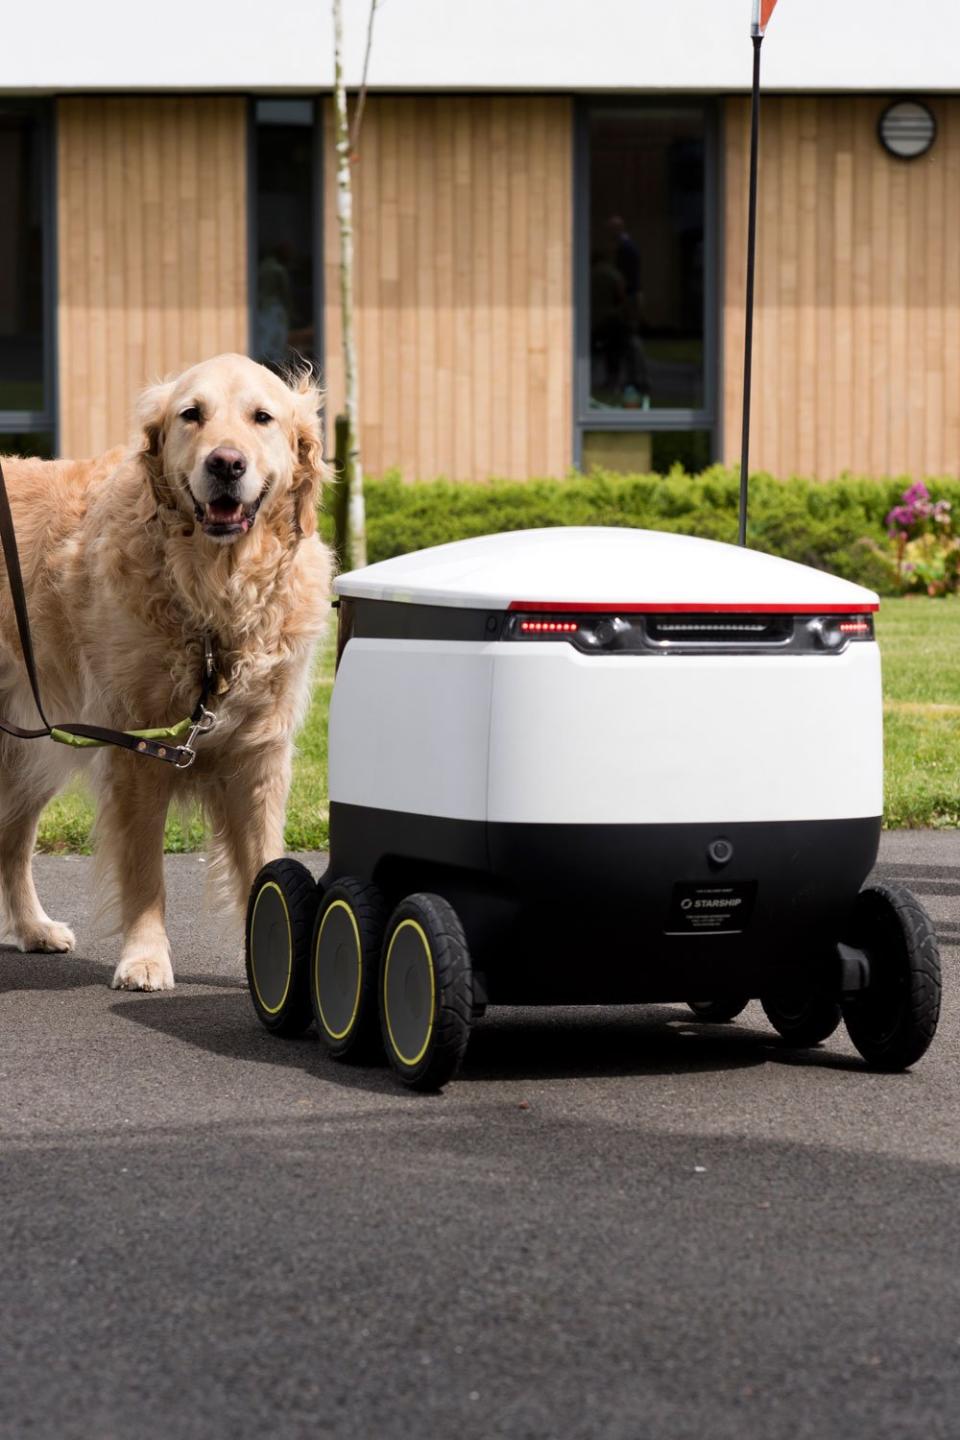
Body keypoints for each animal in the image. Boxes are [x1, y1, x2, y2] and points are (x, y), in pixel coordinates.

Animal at [0, 351, 333, 990]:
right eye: (191, 414)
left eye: (262, 417)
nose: (225, 463)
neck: (215, 593)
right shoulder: (137, 749)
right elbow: (145, 873)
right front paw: (145, 957)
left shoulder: (259, 755)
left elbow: (264, 860)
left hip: (36, 741)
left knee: (11, 834)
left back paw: (34, 928)